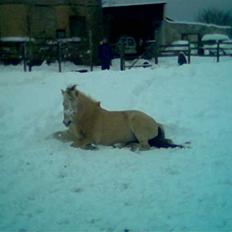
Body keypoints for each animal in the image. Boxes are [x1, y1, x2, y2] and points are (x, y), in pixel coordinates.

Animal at [55, 85, 184, 150]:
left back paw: (126, 146)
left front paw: (91, 147)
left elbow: (75, 144)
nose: (66, 122)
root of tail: (156, 123)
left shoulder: (89, 138)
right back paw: (120, 145)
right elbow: (57, 135)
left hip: (137, 125)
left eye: (73, 103)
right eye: (63, 104)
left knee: (145, 146)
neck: (88, 116)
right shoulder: (70, 134)